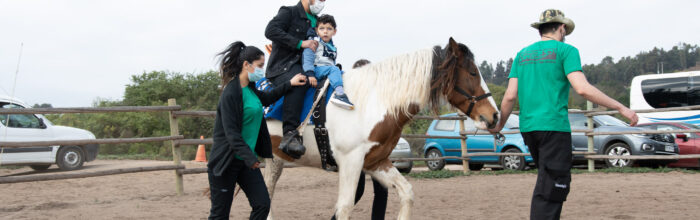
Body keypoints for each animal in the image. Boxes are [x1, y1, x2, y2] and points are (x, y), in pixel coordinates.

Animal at [262, 37, 498, 219]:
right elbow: (344, 208)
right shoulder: (350, 162)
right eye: (472, 73)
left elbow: (406, 193)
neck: (371, 101)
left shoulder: (376, 162)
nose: (494, 115)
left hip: (273, 161)